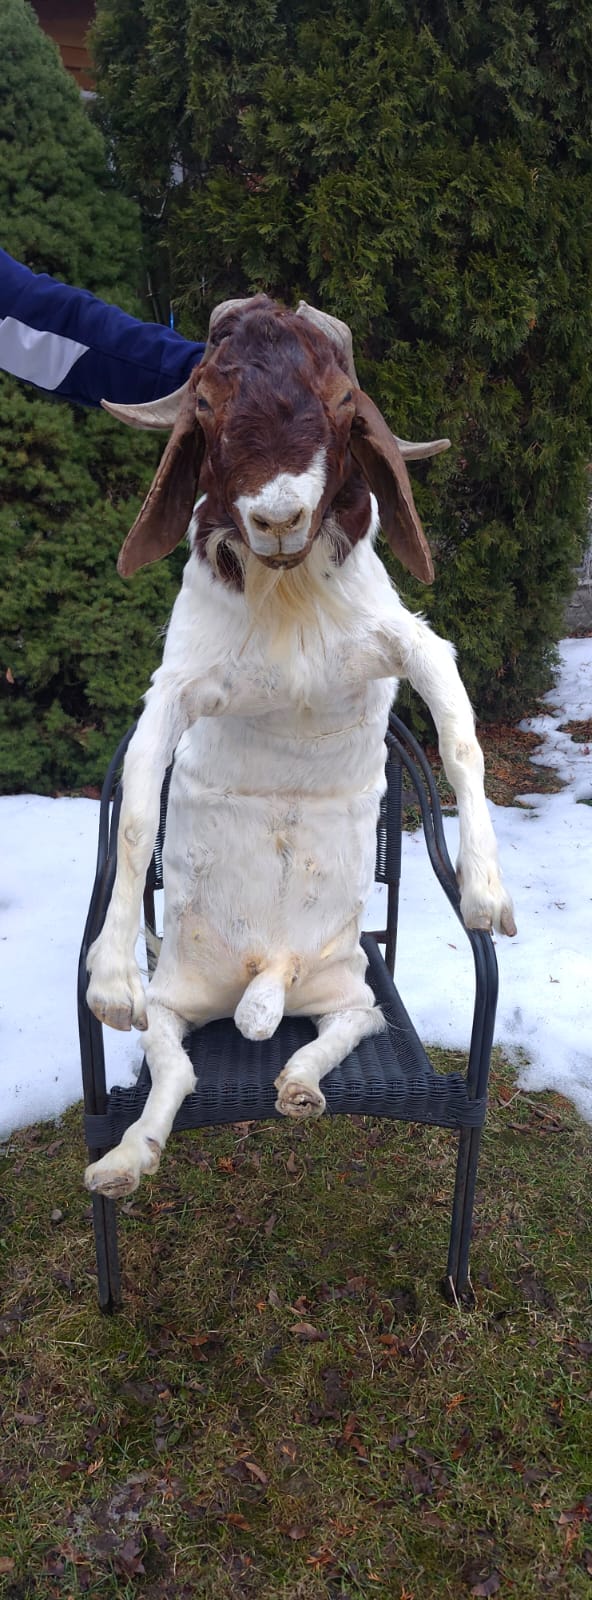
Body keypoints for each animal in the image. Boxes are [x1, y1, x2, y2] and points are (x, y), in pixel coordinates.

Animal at [84, 296, 515, 1199]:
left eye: (345, 402)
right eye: (208, 402)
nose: (278, 519)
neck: (287, 601)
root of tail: (269, 967)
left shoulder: (410, 642)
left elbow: (463, 740)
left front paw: (486, 895)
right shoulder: (175, 686)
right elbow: (136, 816)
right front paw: (107, 978)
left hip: (345, 984)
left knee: (349, 1025)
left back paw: (301, 1086)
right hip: (179, 999)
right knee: (176, 1065)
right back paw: (126, 1159)